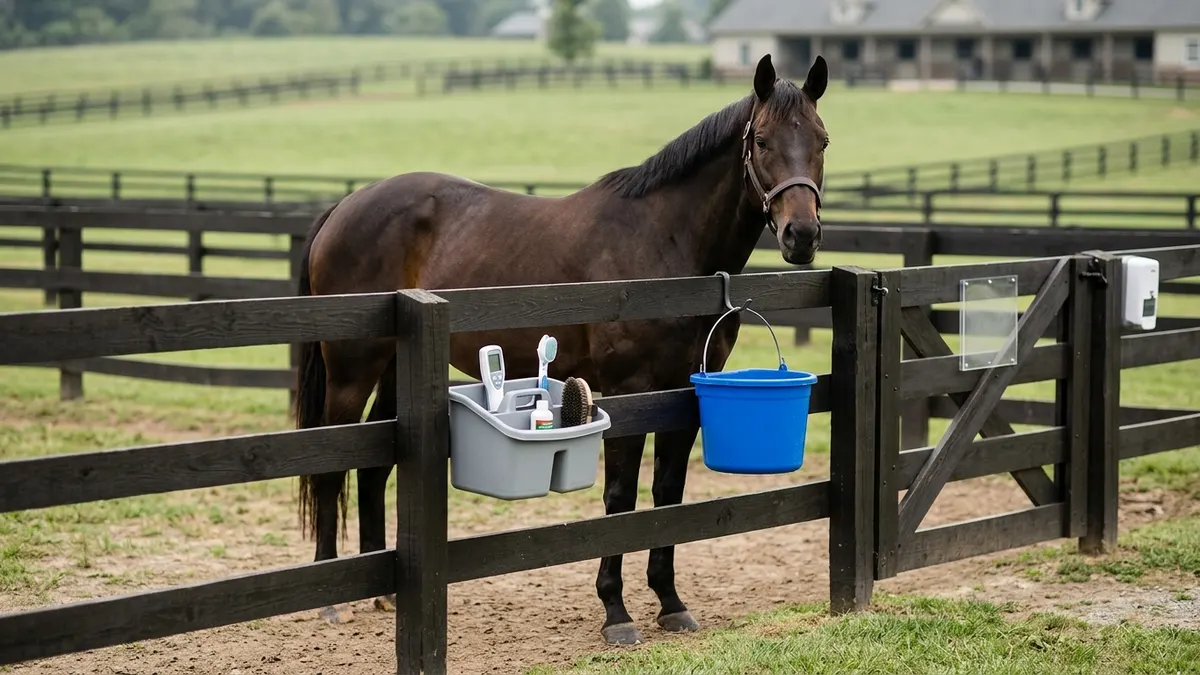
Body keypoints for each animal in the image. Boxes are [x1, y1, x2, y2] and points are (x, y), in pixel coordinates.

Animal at [291, 52, 831, 646]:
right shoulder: (627, 391)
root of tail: (345, 204)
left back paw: (381, 592)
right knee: (330, 467)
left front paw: (670, 603)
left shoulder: (684, 395)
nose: (801, 235)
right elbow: (620, 497)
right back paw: (328, 599)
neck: (663, 245)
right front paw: (616, 612)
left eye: (822, 140)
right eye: (762, 140)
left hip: (394, 370)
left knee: (372, 468)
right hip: (351, 369)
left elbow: (667, 493)